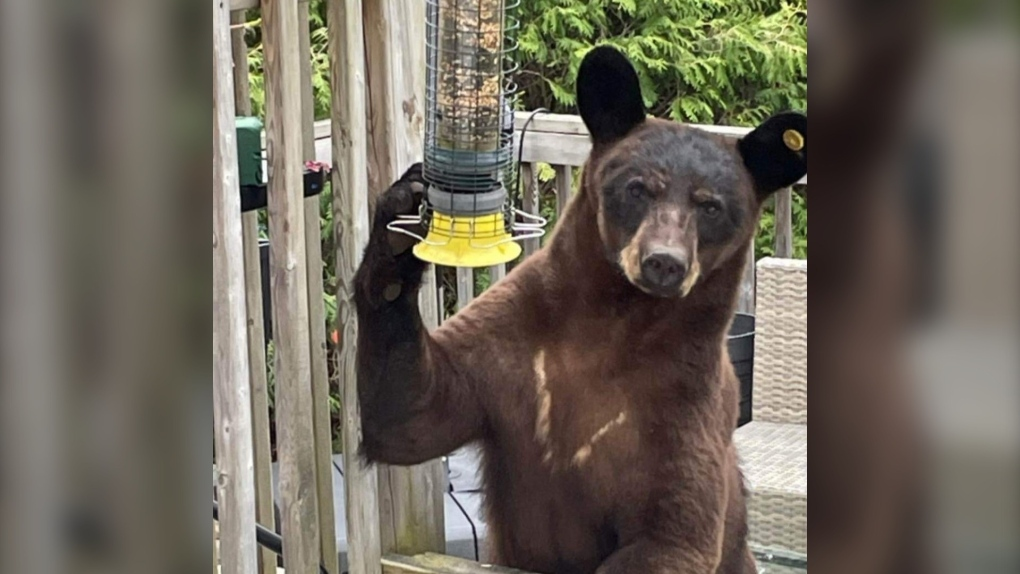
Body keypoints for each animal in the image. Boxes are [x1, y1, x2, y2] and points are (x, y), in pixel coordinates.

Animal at [353, 46, 807, 574]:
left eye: (710, 206)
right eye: (638, 188)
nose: (663, 261)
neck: (613, 326)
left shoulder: (684, 401)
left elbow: (674, 532)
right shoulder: (512, 348)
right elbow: (411, 415)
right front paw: (401, 220)